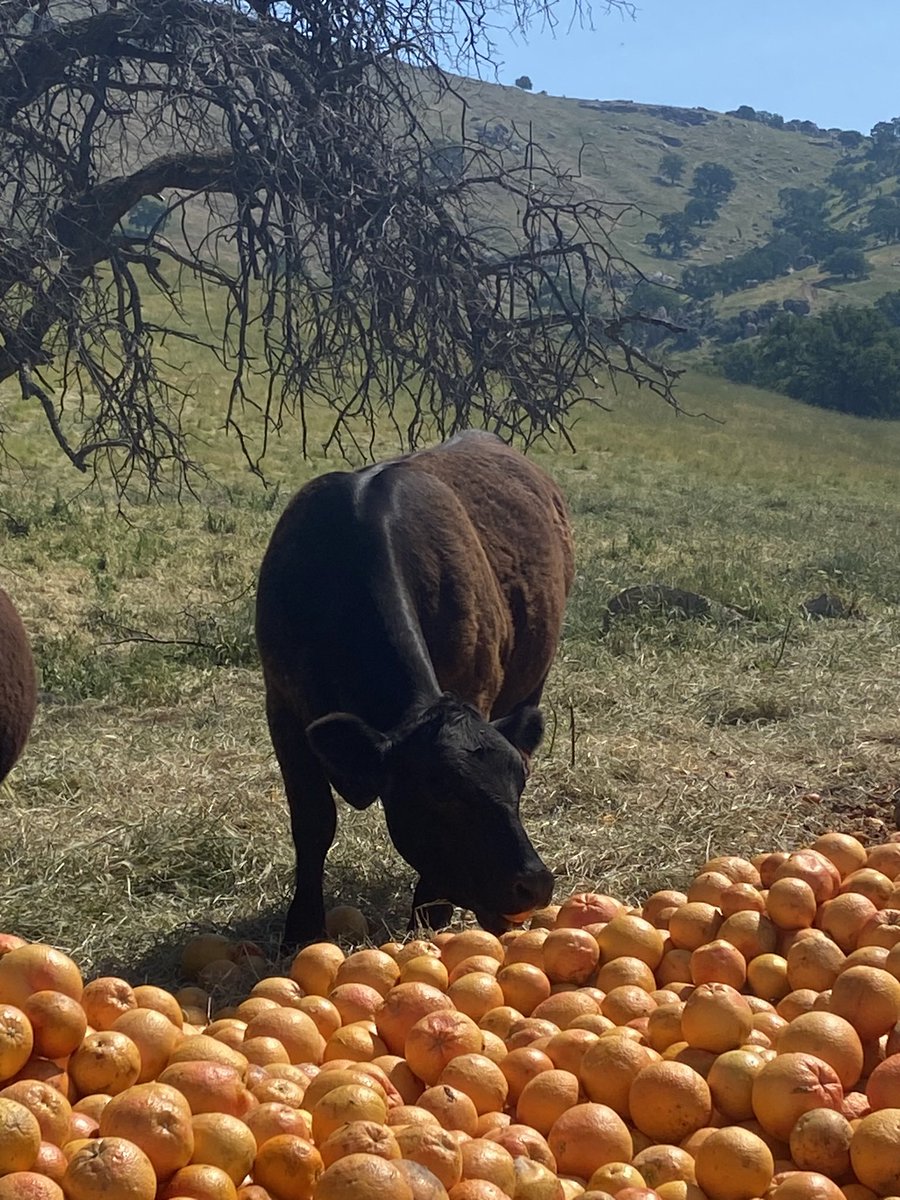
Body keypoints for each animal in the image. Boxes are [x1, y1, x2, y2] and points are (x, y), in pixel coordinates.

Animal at [255, 430, 574, 949]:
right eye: (440, 791)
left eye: (518, 786)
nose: (534, 883)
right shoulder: (282, 707)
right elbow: (313, 821)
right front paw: (301, 929)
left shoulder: (476, 687)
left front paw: (429, 924)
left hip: (534, 679)